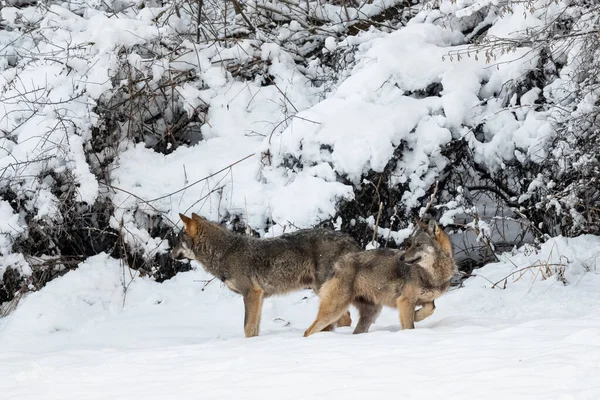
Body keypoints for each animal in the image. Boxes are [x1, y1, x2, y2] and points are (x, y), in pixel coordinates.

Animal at [171, 212, 358, 338]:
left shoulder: (251, 294)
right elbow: (254, 328)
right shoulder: (259, 297)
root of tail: (350, 239)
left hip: (323, 289)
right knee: (344, 318)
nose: (170, 254)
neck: (225, 252)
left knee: (344, 318)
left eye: (178, 241)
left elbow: (247, 327)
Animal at [304, 219, 454, 338]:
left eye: (418, 244)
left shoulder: (426, 300)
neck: (433, 274)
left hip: (371, 314)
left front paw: (416, 316)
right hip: (334, 311)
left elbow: (431, 308)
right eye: (410, 244)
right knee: (308, 331)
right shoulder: (405, 301)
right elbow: (409, 326)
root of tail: (336, 265)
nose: (401, 258)